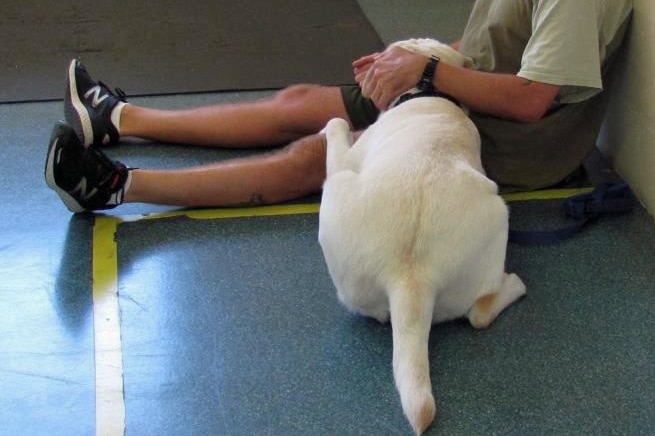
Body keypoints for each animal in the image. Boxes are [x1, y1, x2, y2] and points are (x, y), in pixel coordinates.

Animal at [318, 39, 528, 434]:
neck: (427, 92)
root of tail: (411, 278)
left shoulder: (346, 159)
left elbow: (337, 132)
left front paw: (334, 124)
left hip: (336, 192)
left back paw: (515, 285)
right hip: (494, 218)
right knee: (478, 314)